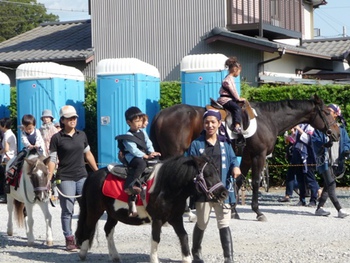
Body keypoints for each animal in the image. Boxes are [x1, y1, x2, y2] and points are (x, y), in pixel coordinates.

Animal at [75, 156, 228, 262]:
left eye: (217, 172)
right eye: (208, 175)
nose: (224, 193)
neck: (167, 187)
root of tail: (93, 175)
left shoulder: (176, 218)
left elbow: (183, 236)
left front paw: (187, 259)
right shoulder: (157, 219)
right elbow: (156, 238)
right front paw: (154, 260)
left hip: (113, 213)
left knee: (108, 230)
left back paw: (115, 256)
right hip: (95, 210)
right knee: (88, 227)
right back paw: (82, 253)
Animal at [150, 96, 340, 222]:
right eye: (326, 112)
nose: (337, 134)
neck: (268, 119)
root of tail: (160, 114)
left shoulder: (247, 156)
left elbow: (239, 180)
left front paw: (234, 211)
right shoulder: (258, 155)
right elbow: (255, 182)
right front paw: (258, 211)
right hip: (174, 152)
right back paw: (186, 213)